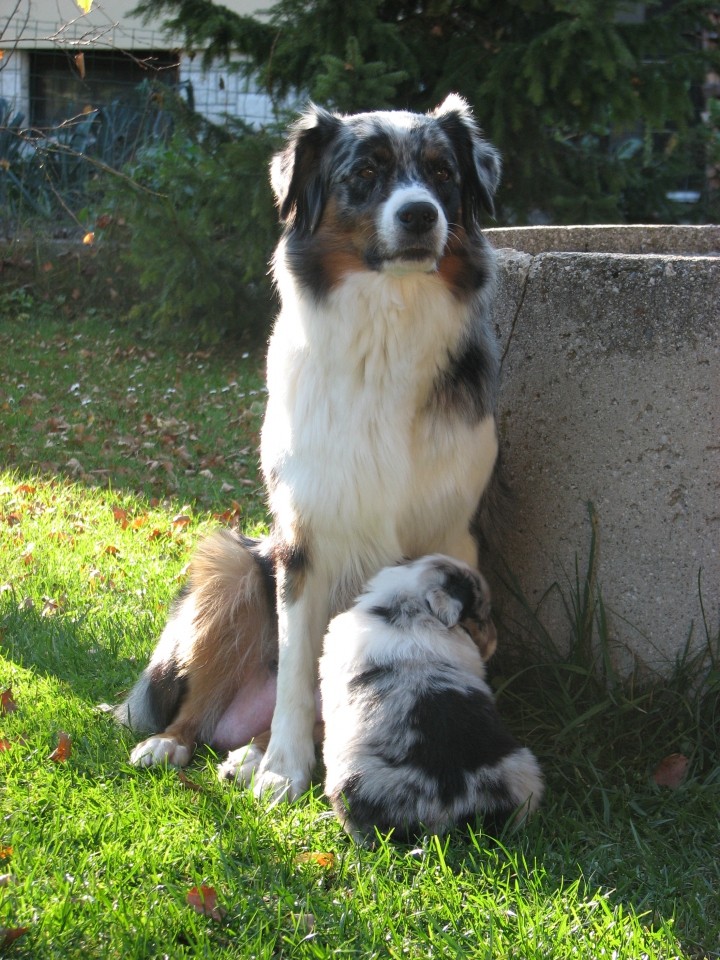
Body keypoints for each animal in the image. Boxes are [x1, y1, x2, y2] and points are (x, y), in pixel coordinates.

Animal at [115, 92, 504, 804]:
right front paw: (283, 770)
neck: (386, 328)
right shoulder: (302, 538)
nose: (420, 214)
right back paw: (182, 743)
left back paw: (247, 752)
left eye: (443, 173)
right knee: (208, 697)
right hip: (235, 565)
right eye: (365, 174)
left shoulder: (453, 532)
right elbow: (298, 669)